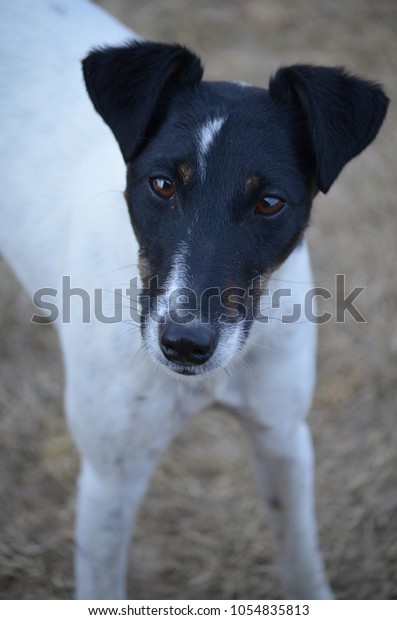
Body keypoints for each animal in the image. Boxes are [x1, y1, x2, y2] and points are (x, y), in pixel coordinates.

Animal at [0, 0, 388, 600]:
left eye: (270, 202)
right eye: (162, 185)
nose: (185, 344)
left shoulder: (282, 436)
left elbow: (302, 562)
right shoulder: (110, 479)